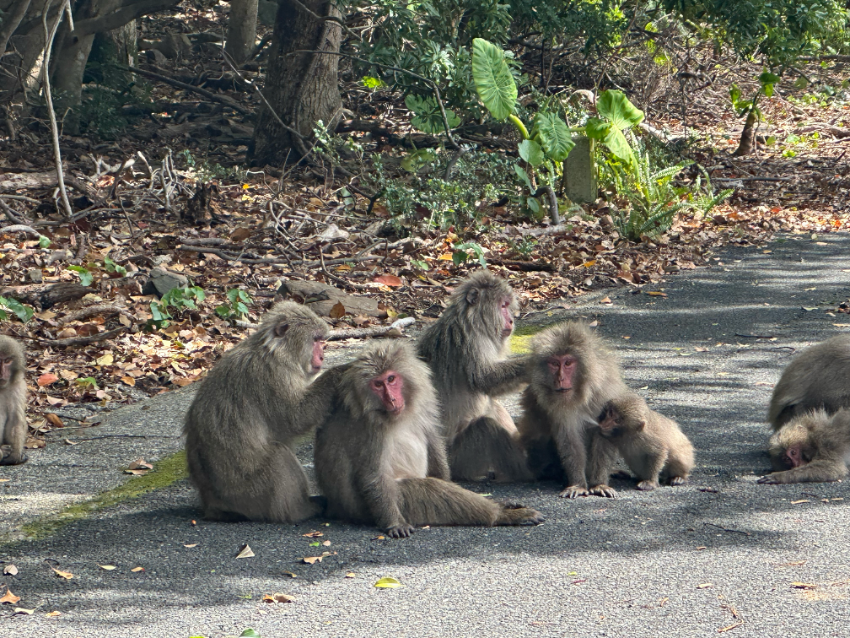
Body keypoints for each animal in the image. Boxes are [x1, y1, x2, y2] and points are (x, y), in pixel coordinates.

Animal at [183, 301, 347, 523]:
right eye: (315, 340)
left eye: (322, 341)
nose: (322, 356)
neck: (276, 352)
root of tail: (212, 503)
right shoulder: (273, 376)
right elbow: (295, 418)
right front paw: (338, 373)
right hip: (251, 494)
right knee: (279, 455)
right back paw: (300, 511)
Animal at [314, 340, 544, 537]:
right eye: (377, 385)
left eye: (391, 379)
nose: (391, 399)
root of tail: (336, 509)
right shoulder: (369, 428)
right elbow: (373, 475)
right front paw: (394, 523)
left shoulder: (423, 404)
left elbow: (432, 442)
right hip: (376, 507)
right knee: (426, 490)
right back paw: (501, 515)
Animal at [416, 270, 532, 483]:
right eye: (503, 306)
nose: (512, 321)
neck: (472, 320)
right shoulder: (472, 341)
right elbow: (484, 379)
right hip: (460, 459)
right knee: (486, 427)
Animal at [518, 322, 628, 498]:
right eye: (554, 363)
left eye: (568, 363)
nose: (560, 378)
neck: (581, 394)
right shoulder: (559, 405)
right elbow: (569, 436)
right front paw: (578, 484)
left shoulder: (606, 391)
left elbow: (605, 432)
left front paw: (599, 483)